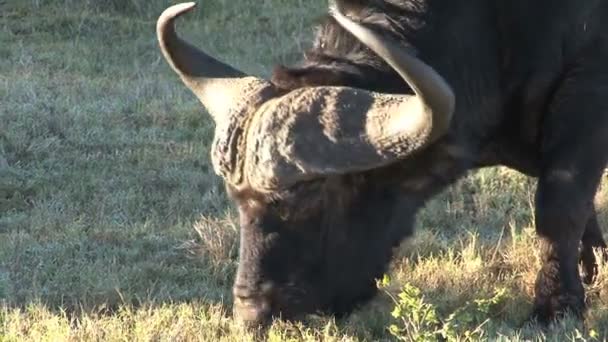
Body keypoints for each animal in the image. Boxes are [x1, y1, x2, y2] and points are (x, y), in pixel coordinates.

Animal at [156, 0, 608, 326]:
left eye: (312, 198)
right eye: (236, 200)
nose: (253, 312)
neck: (492, 32)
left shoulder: (585, 105)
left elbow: (559, 209)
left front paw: (556, 305)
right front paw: (592, 267)